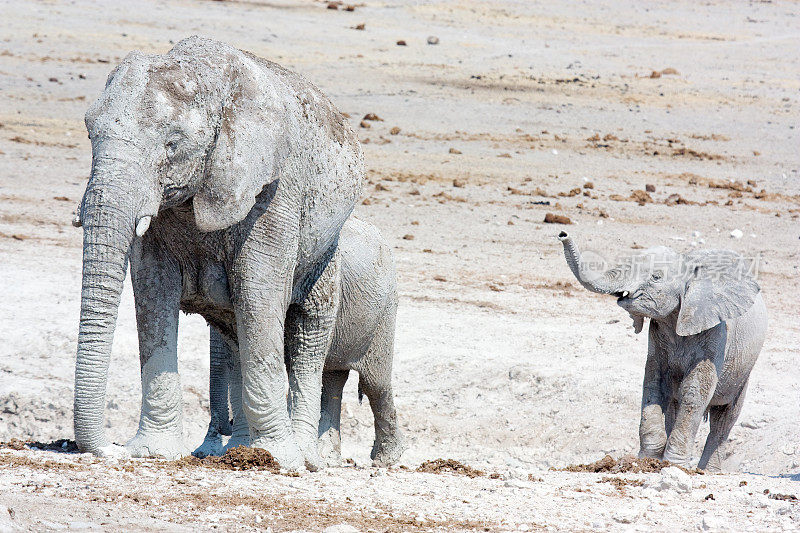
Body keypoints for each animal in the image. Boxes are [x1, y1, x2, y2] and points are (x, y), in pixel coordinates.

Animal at [72, 38, 366, 470]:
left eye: (172, 144)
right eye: (91, 134)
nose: (111, 448)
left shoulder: (273, 192)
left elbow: (260, 295)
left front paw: (278, 458)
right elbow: (152, 294)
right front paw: (152, 452)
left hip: (327, 248)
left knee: (308, 333)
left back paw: (304, 458)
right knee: (234, 332)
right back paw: (240, 450)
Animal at [195, 216, 406, 466]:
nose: (223, 428)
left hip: (384, 313)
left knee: (375, 384)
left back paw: (385, 459)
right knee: (333, 379)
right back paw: (329, 457)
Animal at [560, 232, 764, 470]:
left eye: (656, 277)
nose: (563, 234)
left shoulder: (716, 331)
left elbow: (694, 391)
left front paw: (673, 465)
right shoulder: (657, 336)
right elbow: (654, 383)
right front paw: (647, 461)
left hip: (744, 370)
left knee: (724, 419)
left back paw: (707, 472)